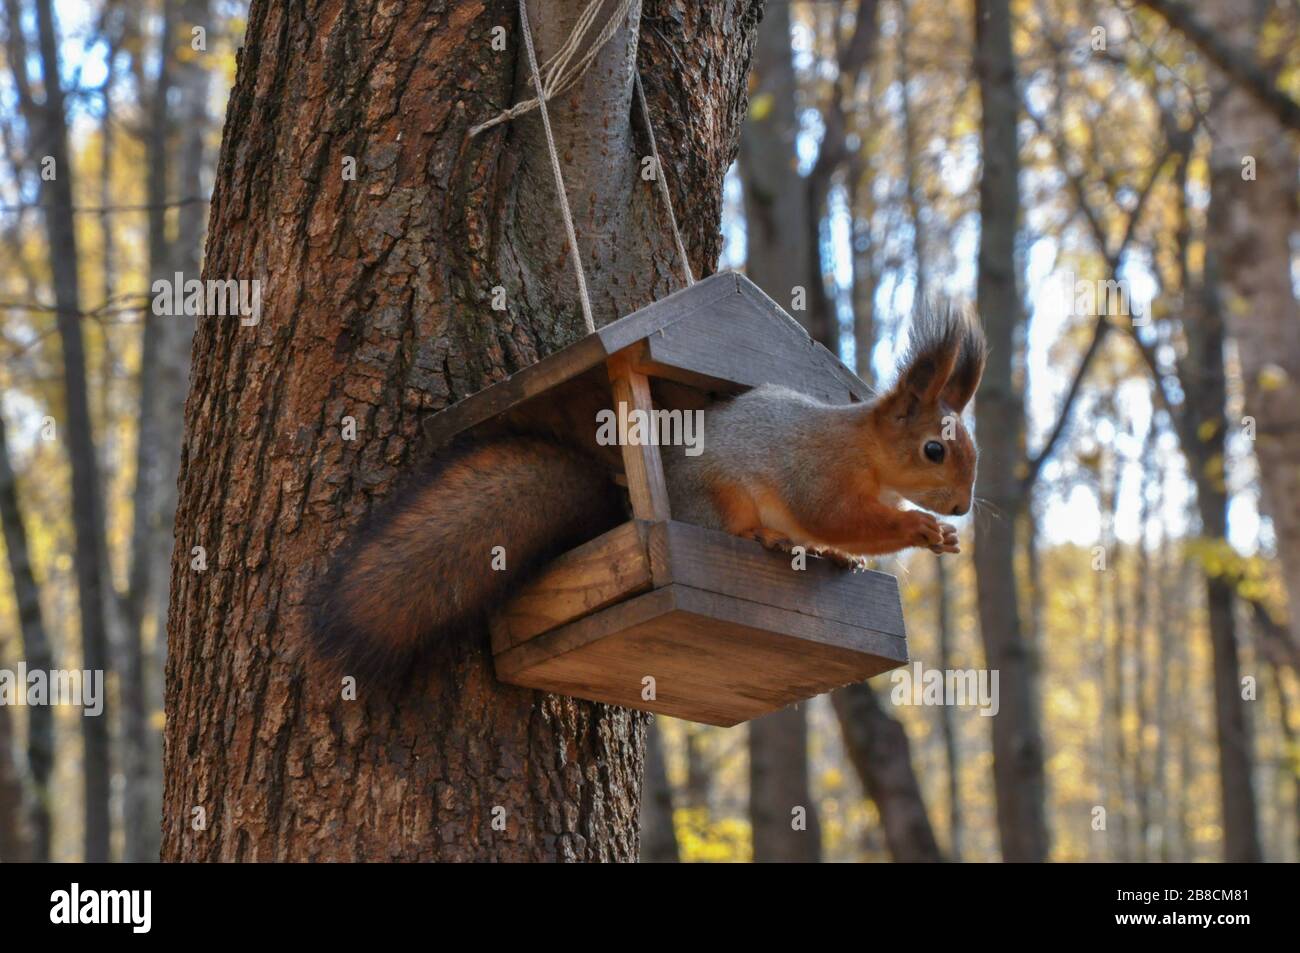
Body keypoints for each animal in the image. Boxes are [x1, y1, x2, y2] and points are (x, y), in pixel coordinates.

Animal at [312, 301, 982, 670]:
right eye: (934, 449)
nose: (961, 506)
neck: (864, 452)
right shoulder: (816, 474)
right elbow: (839, 517)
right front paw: (921, 529)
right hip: (722, 496)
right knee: (743, 526)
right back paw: (775, 539)